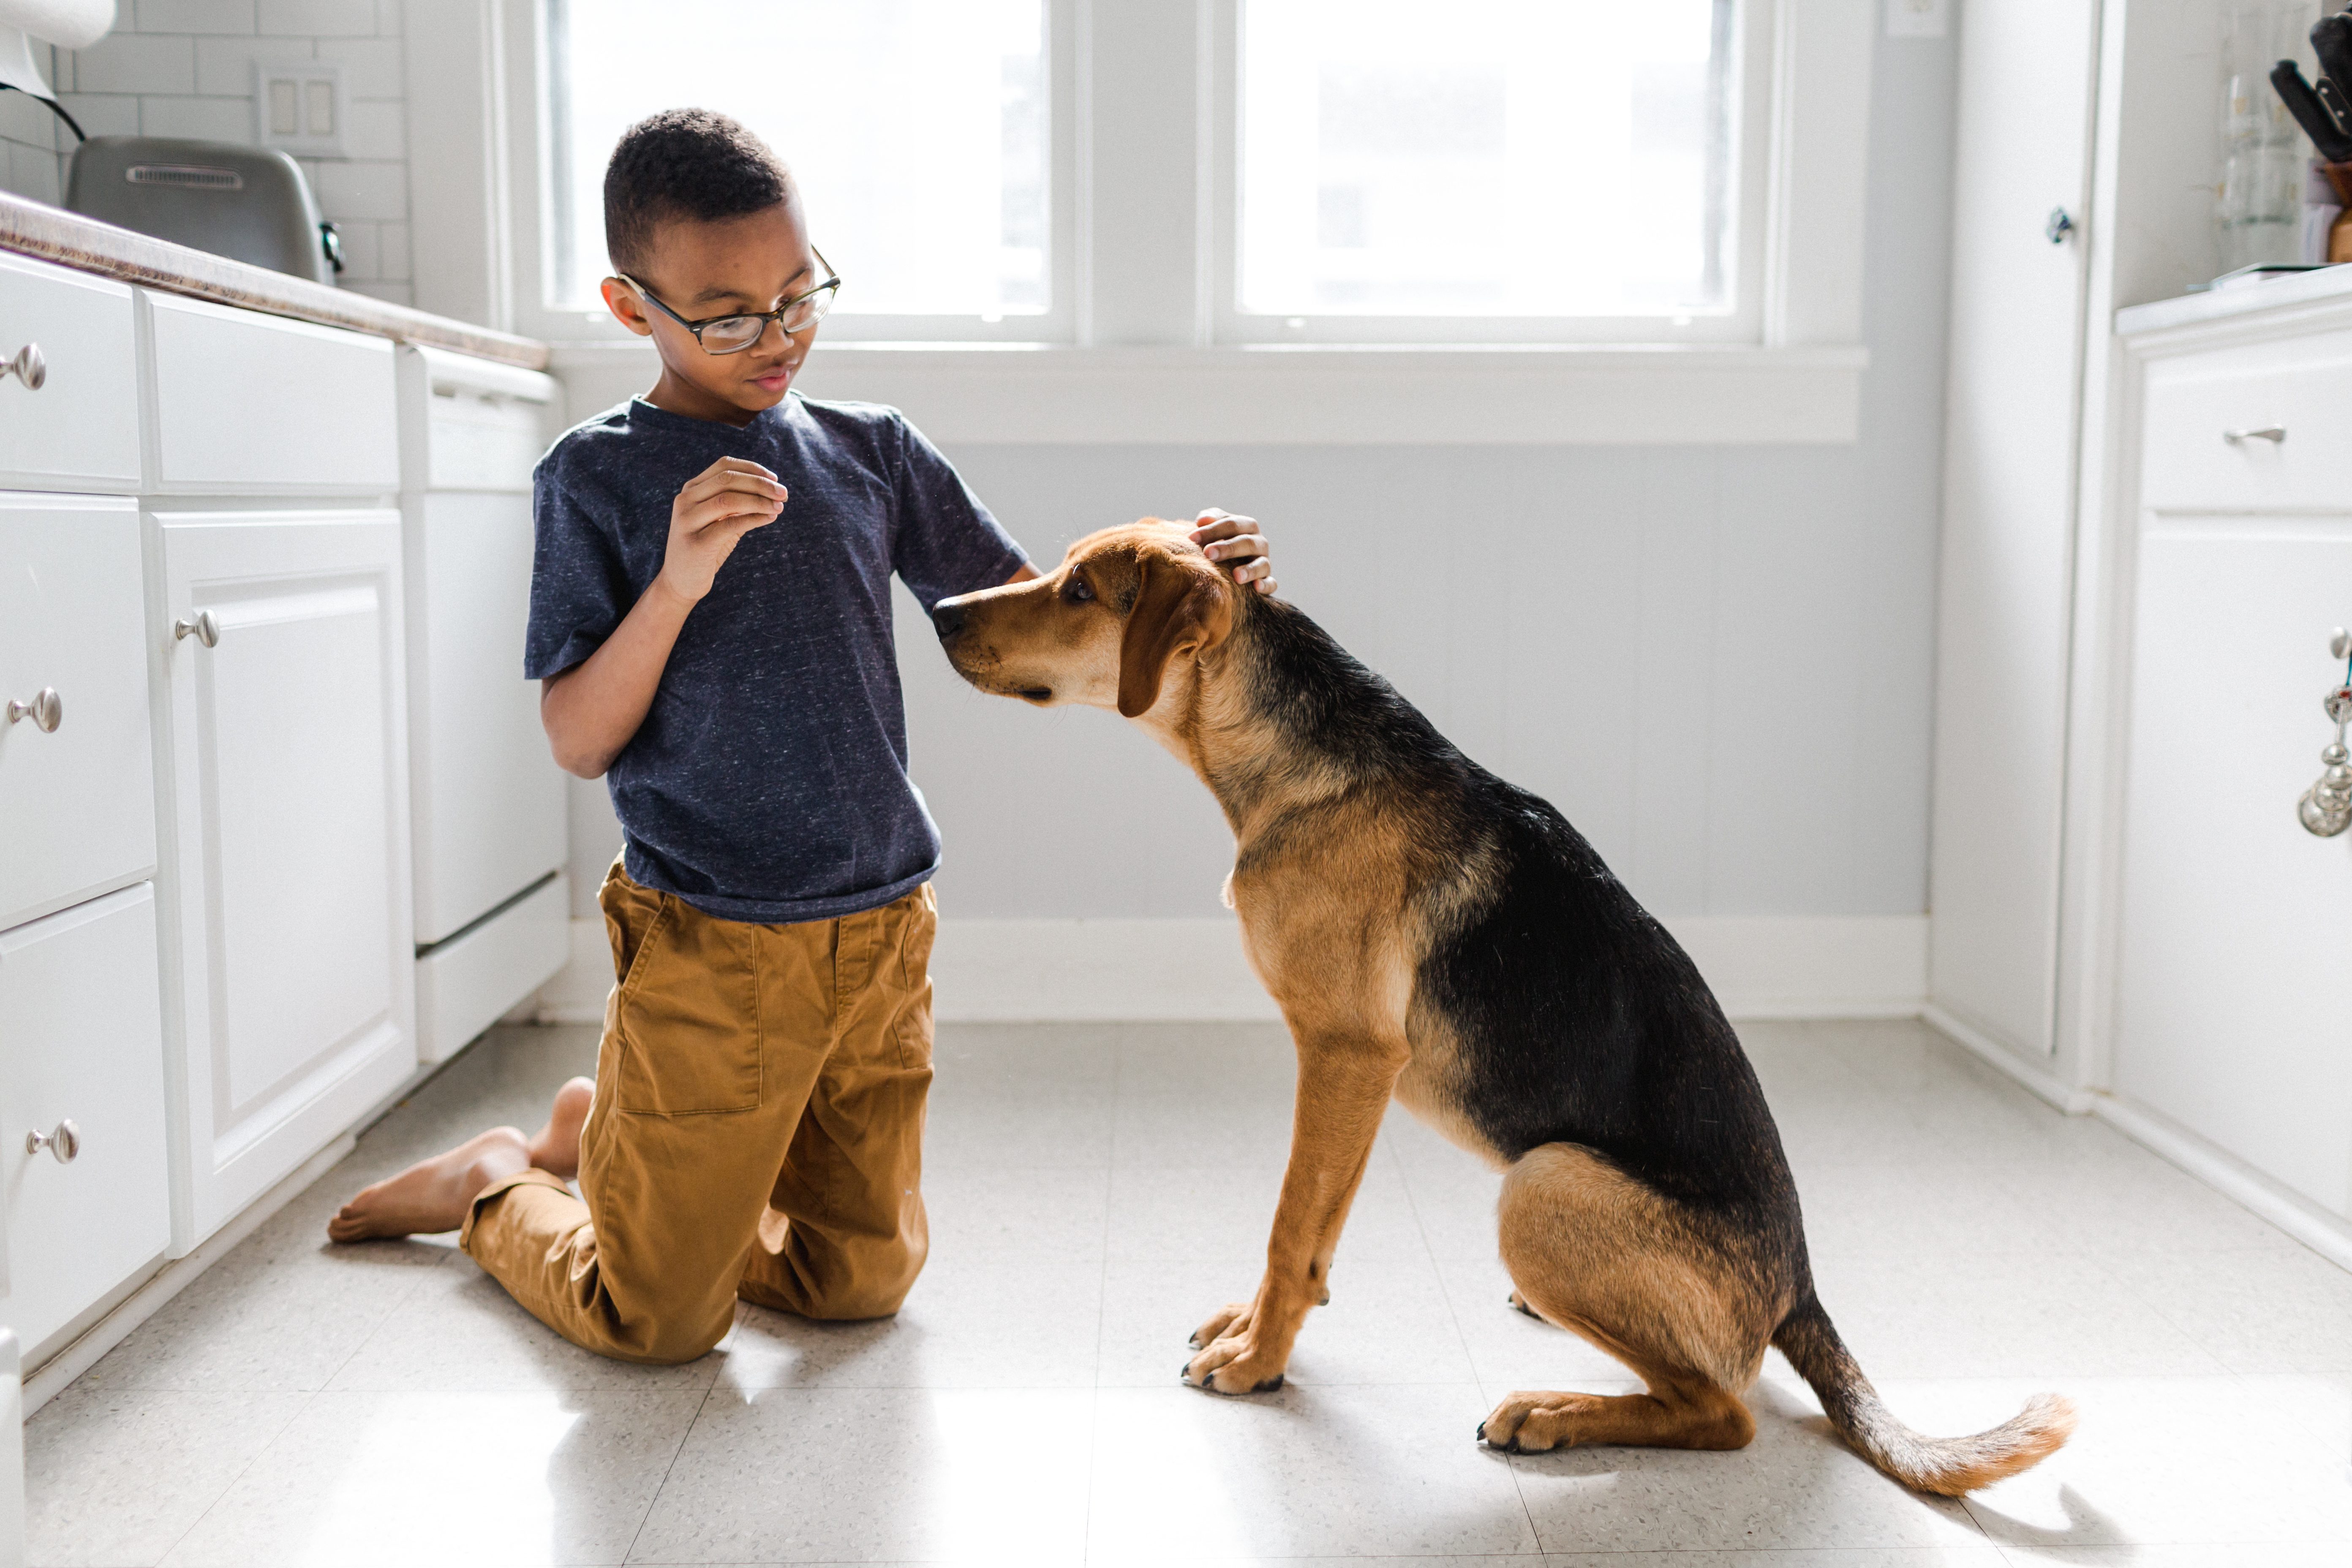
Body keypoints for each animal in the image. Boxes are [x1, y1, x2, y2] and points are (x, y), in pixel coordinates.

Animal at [936, 517, 2079, 1495]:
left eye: (1080, 591)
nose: (940, 608)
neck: (1304, 762)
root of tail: (1798, 1285)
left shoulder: (1344, 1054)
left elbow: (1290, 1224)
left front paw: (1260, 1357)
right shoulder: (1348, 1076)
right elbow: (1314, 1228)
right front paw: (1258, 1325)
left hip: (1542, 1183)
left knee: (1723, 1410)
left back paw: (1555, 1411)